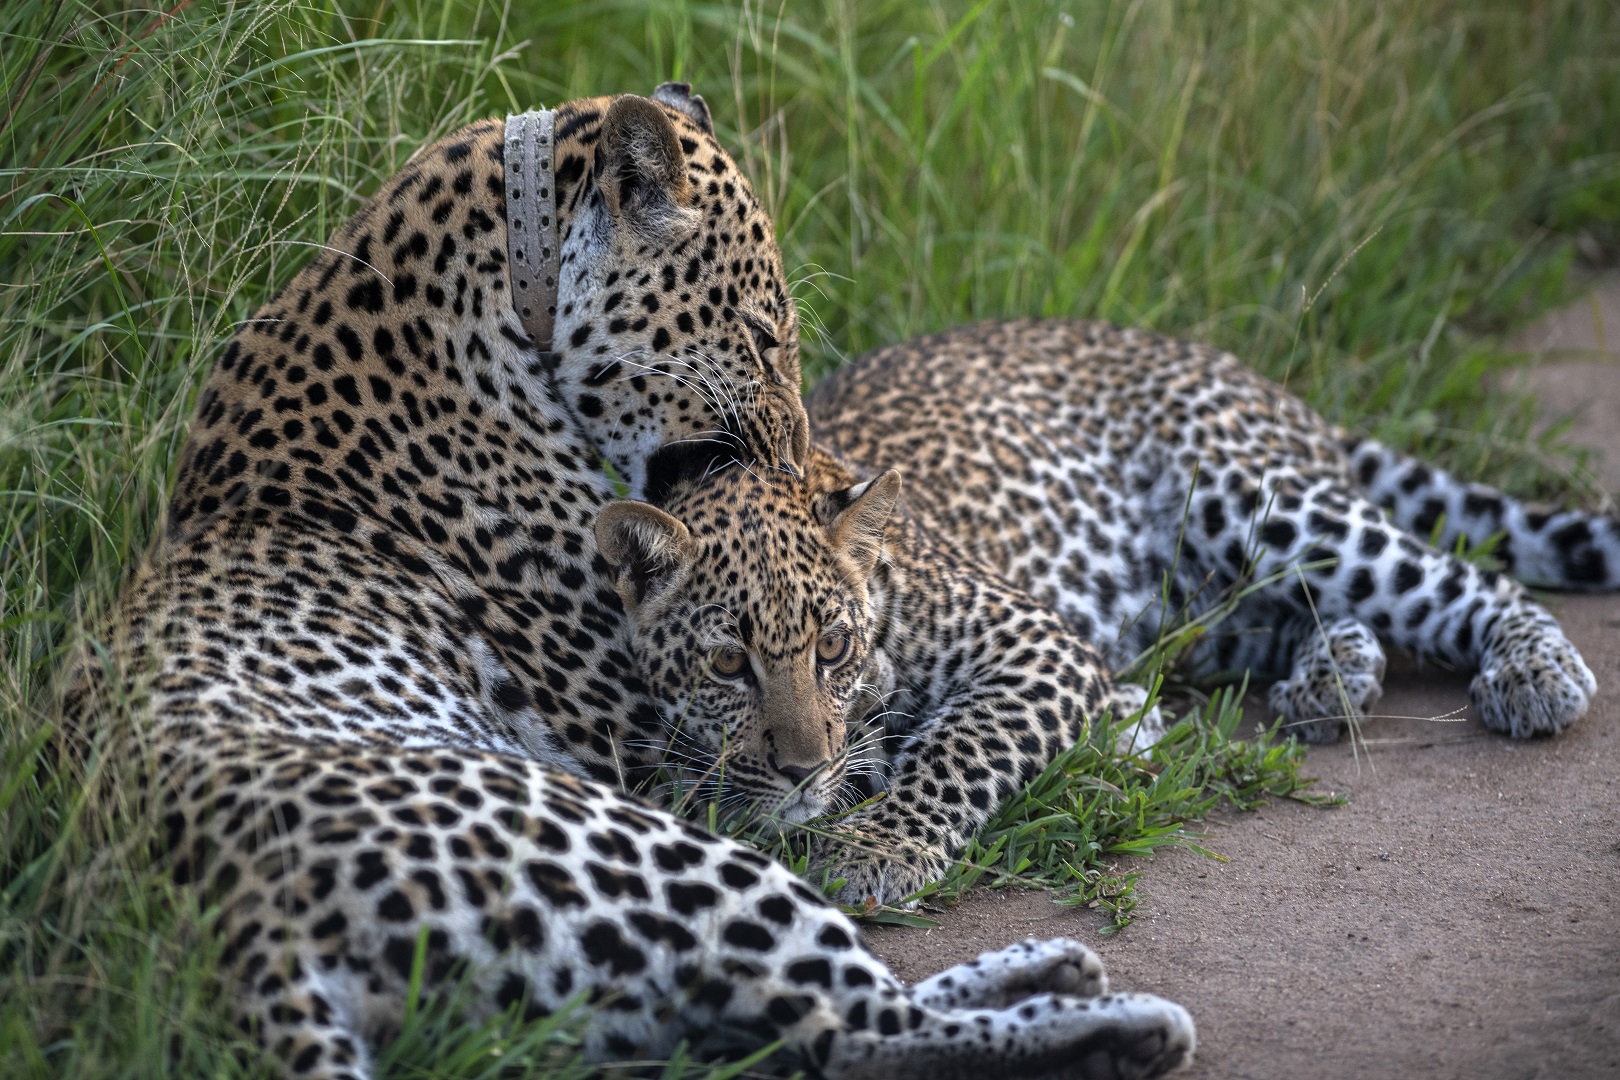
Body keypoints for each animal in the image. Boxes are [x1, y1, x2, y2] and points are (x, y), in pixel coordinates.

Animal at [57, 86, 1192, 1080]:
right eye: (764, 335)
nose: (815, 466)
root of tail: (236, 922)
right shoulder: (657, 744)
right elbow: (855, 733)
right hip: (649, 847)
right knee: (854, 1023)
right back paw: (1122, 1016)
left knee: (822, 1019)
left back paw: (1068, 972)